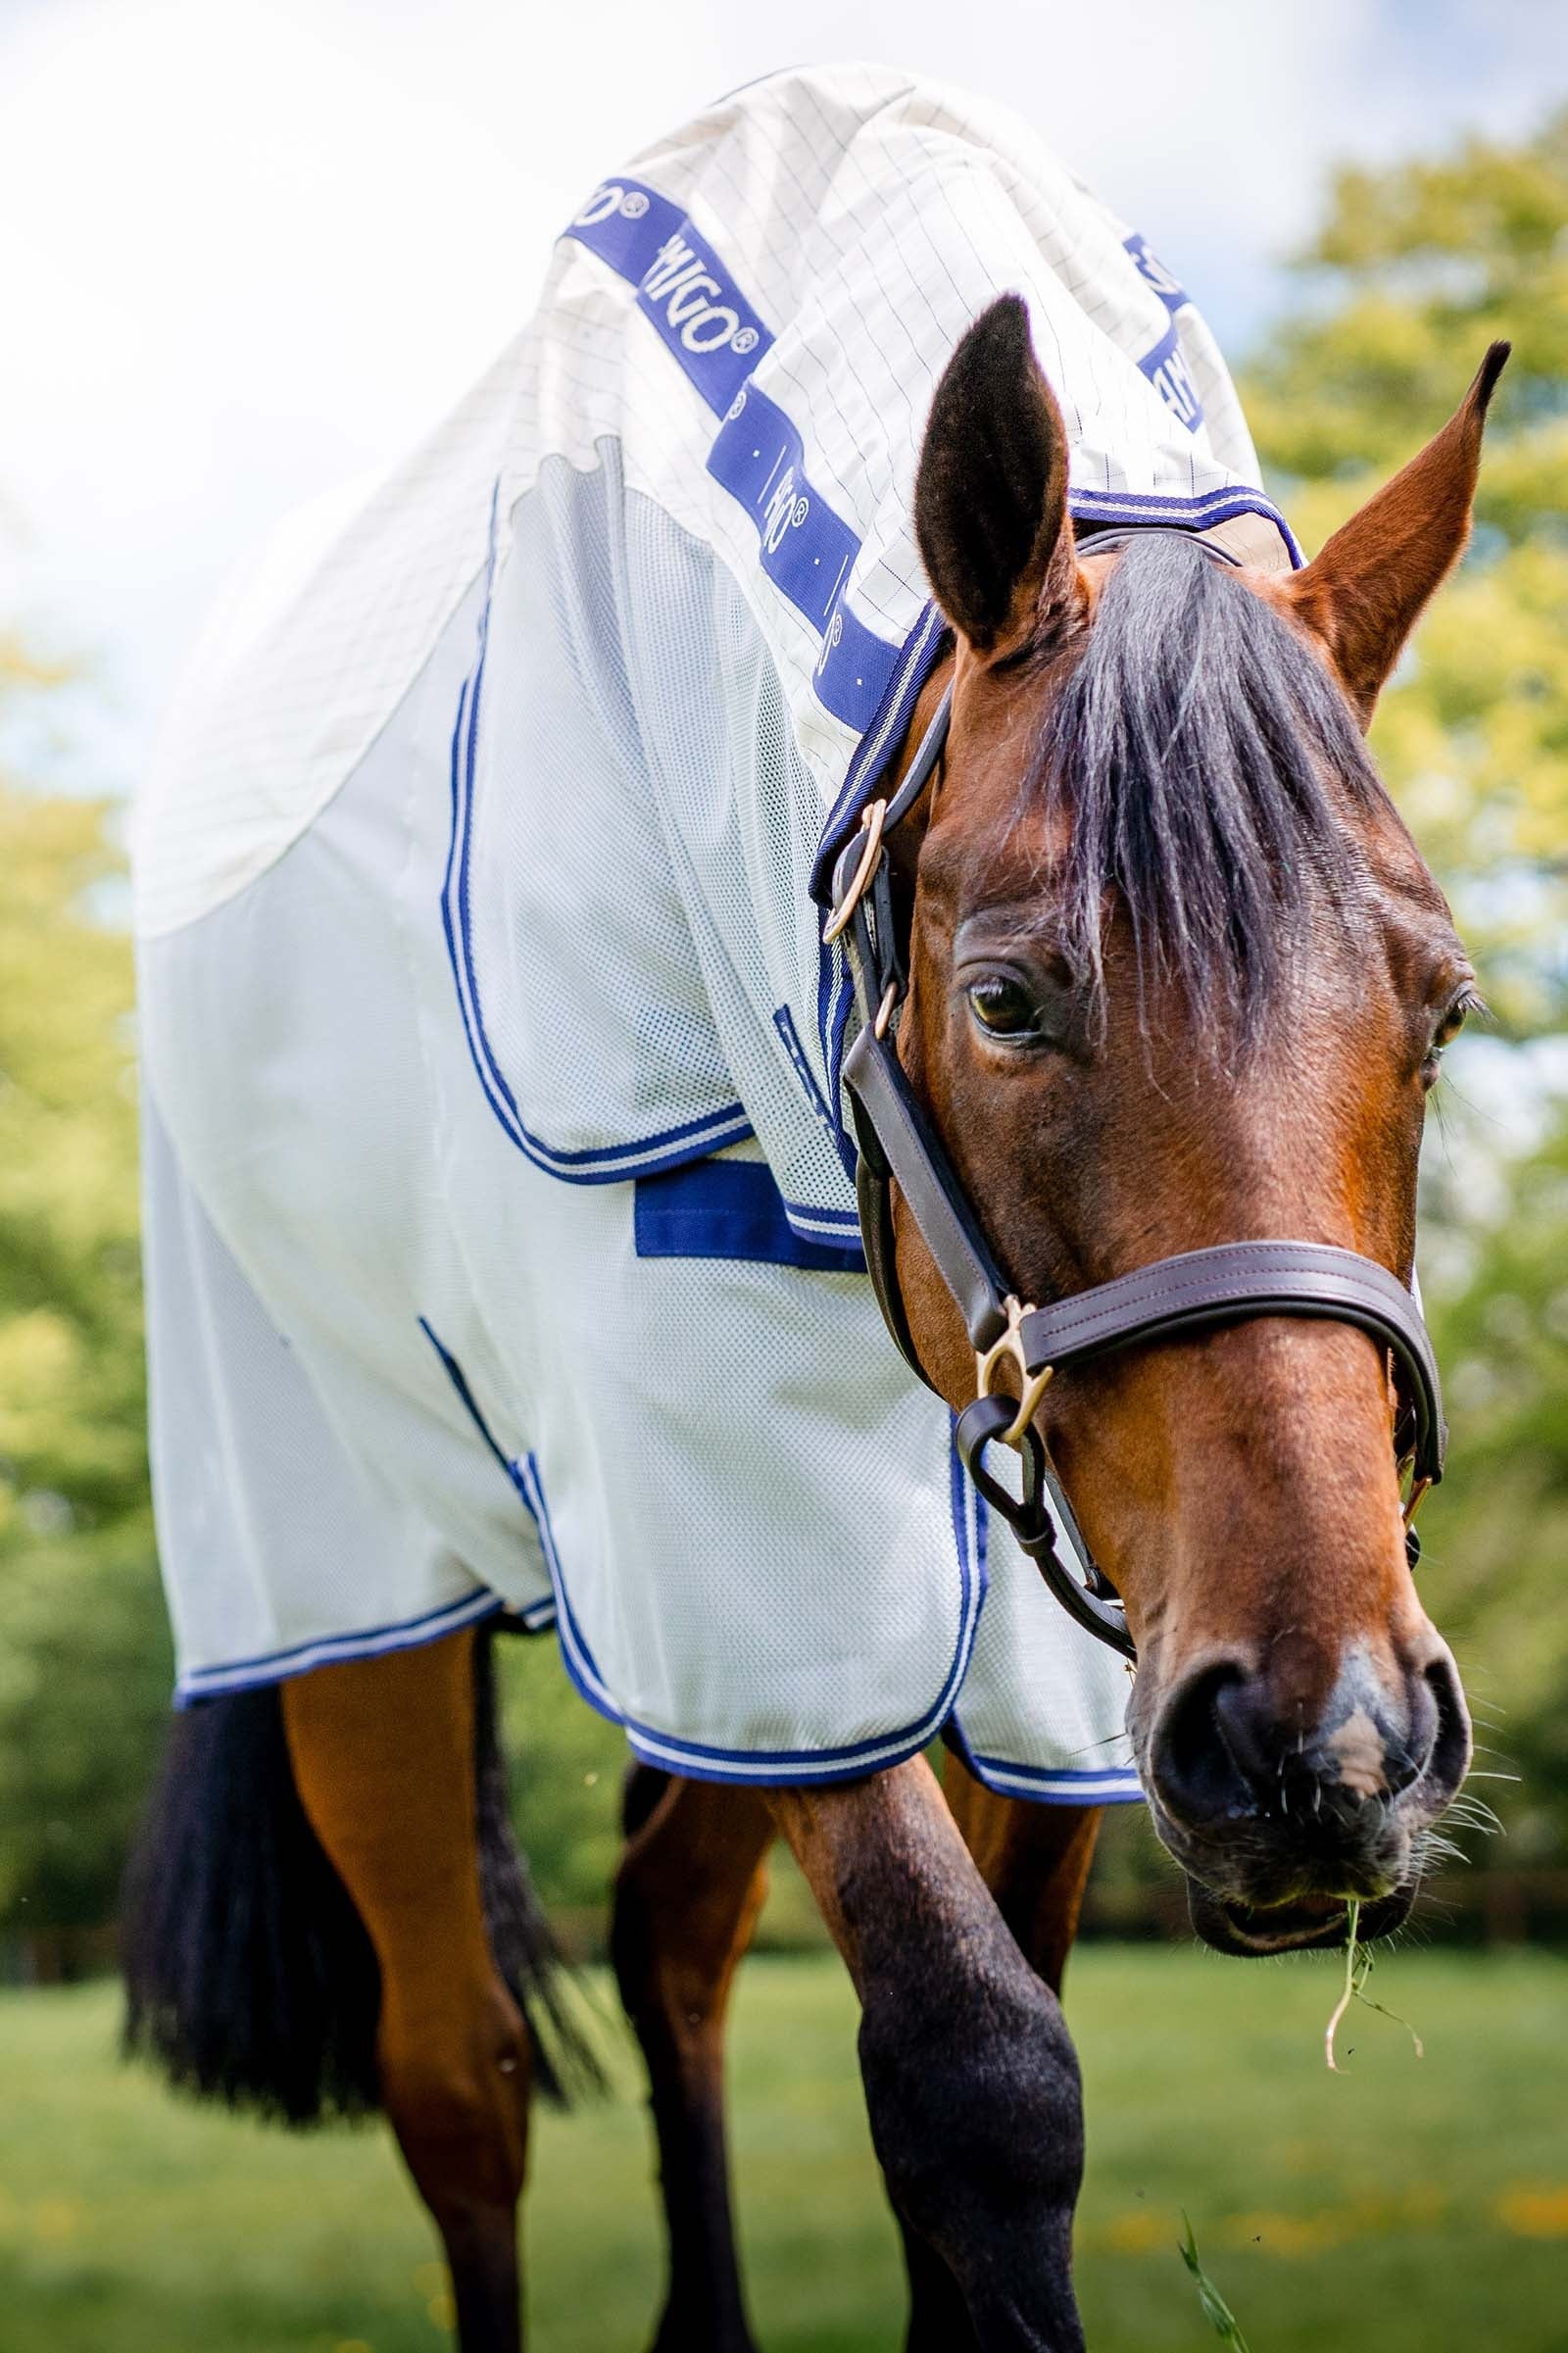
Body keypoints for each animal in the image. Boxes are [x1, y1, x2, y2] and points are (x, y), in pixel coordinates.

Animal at [122, 70, 1505, 2353]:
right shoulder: (724, 1519)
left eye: (1444, 1001)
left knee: (667, 1935)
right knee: (456, 2085)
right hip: (359, 1593)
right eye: (1009, 996)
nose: (1334, 1741)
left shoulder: (1041, 1641)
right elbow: (981, 2079)